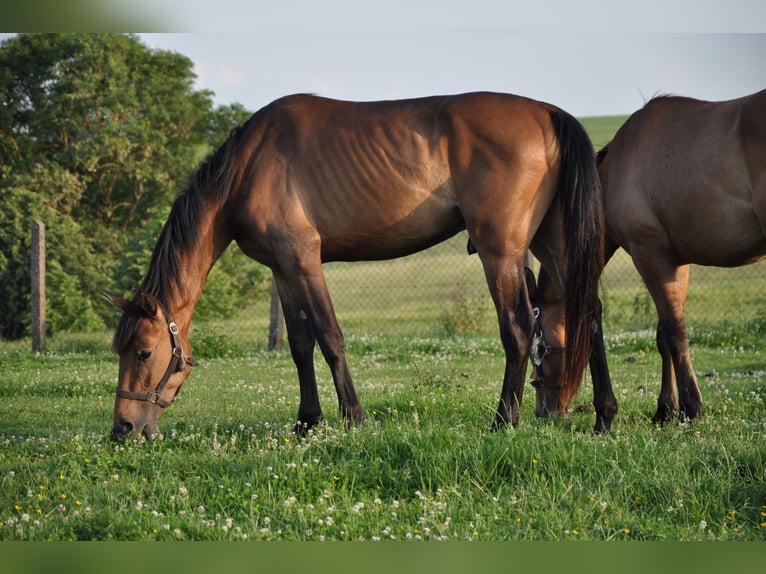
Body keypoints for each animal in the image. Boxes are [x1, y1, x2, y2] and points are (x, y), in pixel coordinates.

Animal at [102, 92, 603, 441]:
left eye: (143, 352)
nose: (123, 428)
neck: (246, 168)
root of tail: (548, 113)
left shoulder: (304, 260)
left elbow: (330, 337)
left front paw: (353, 417)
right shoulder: (282, 269)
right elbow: (300, 345)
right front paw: (308, 420)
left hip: (501, 251)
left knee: (518, 328)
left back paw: (504, 420)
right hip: (552, 245)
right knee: (589, 313)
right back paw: (605, 416)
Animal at [526, 88, 766, 432]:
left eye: (540, 347)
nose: (541, 410)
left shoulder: (649, 253)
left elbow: (675, 332)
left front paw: (691, 406)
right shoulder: (677, 262)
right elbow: (663, 335)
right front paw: (666, 409)